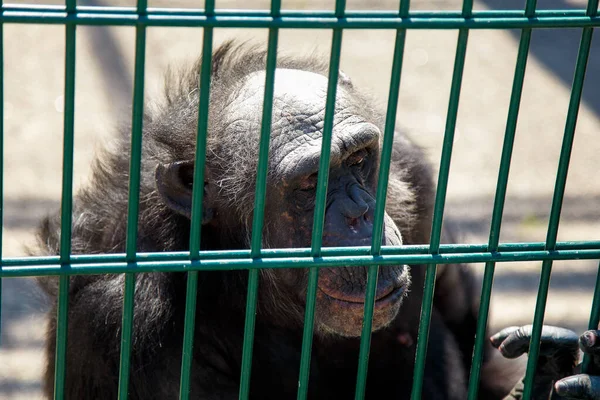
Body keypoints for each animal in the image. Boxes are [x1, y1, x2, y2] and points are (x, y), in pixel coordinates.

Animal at [34, 40, 596, 400]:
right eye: (310, 183)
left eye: (358, 159)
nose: (361, 213)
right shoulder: (124, 326)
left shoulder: (414, 172)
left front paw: (548, 375)